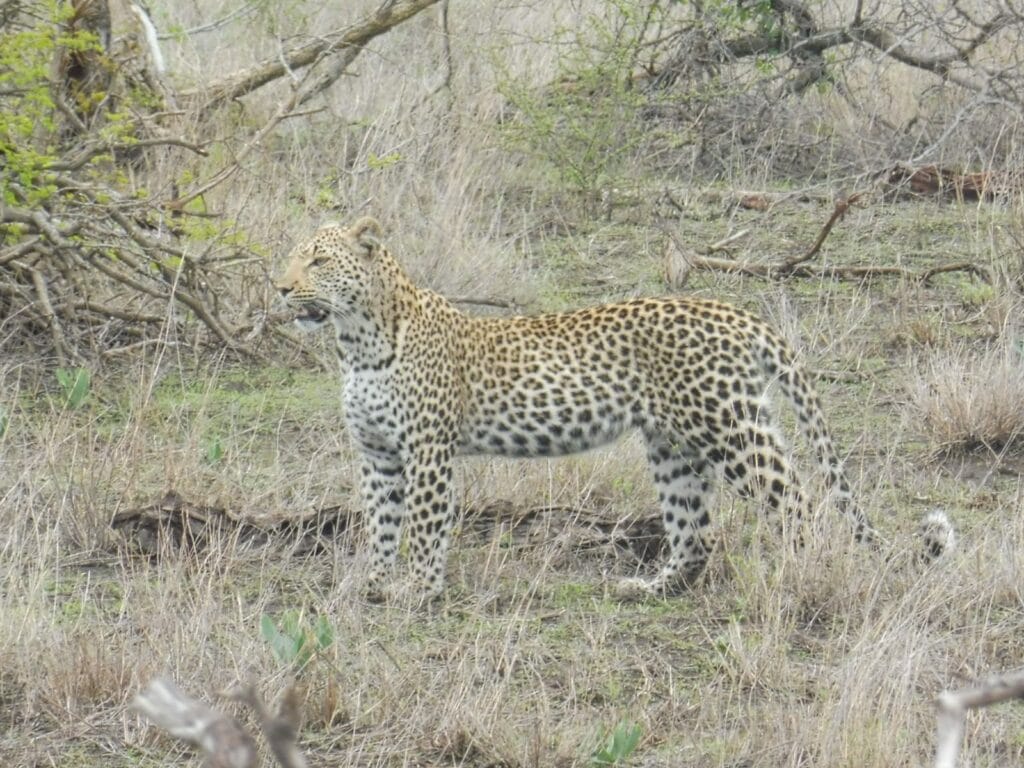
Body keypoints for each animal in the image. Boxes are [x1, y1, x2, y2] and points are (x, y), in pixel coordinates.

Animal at [275, 216, 954, 601]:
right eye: (293, 256)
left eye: (318, 260)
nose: (279, 288)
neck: (357, 342)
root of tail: (735, 311)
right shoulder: (378, 454)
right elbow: (381, 524)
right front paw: (373, 584)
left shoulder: (427, 451)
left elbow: (421, 525)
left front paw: (417, 593)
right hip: (673, 444)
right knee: (696, 530)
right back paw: (652, 588)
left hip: (729, 427)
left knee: (797, 502)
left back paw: (801, 574)